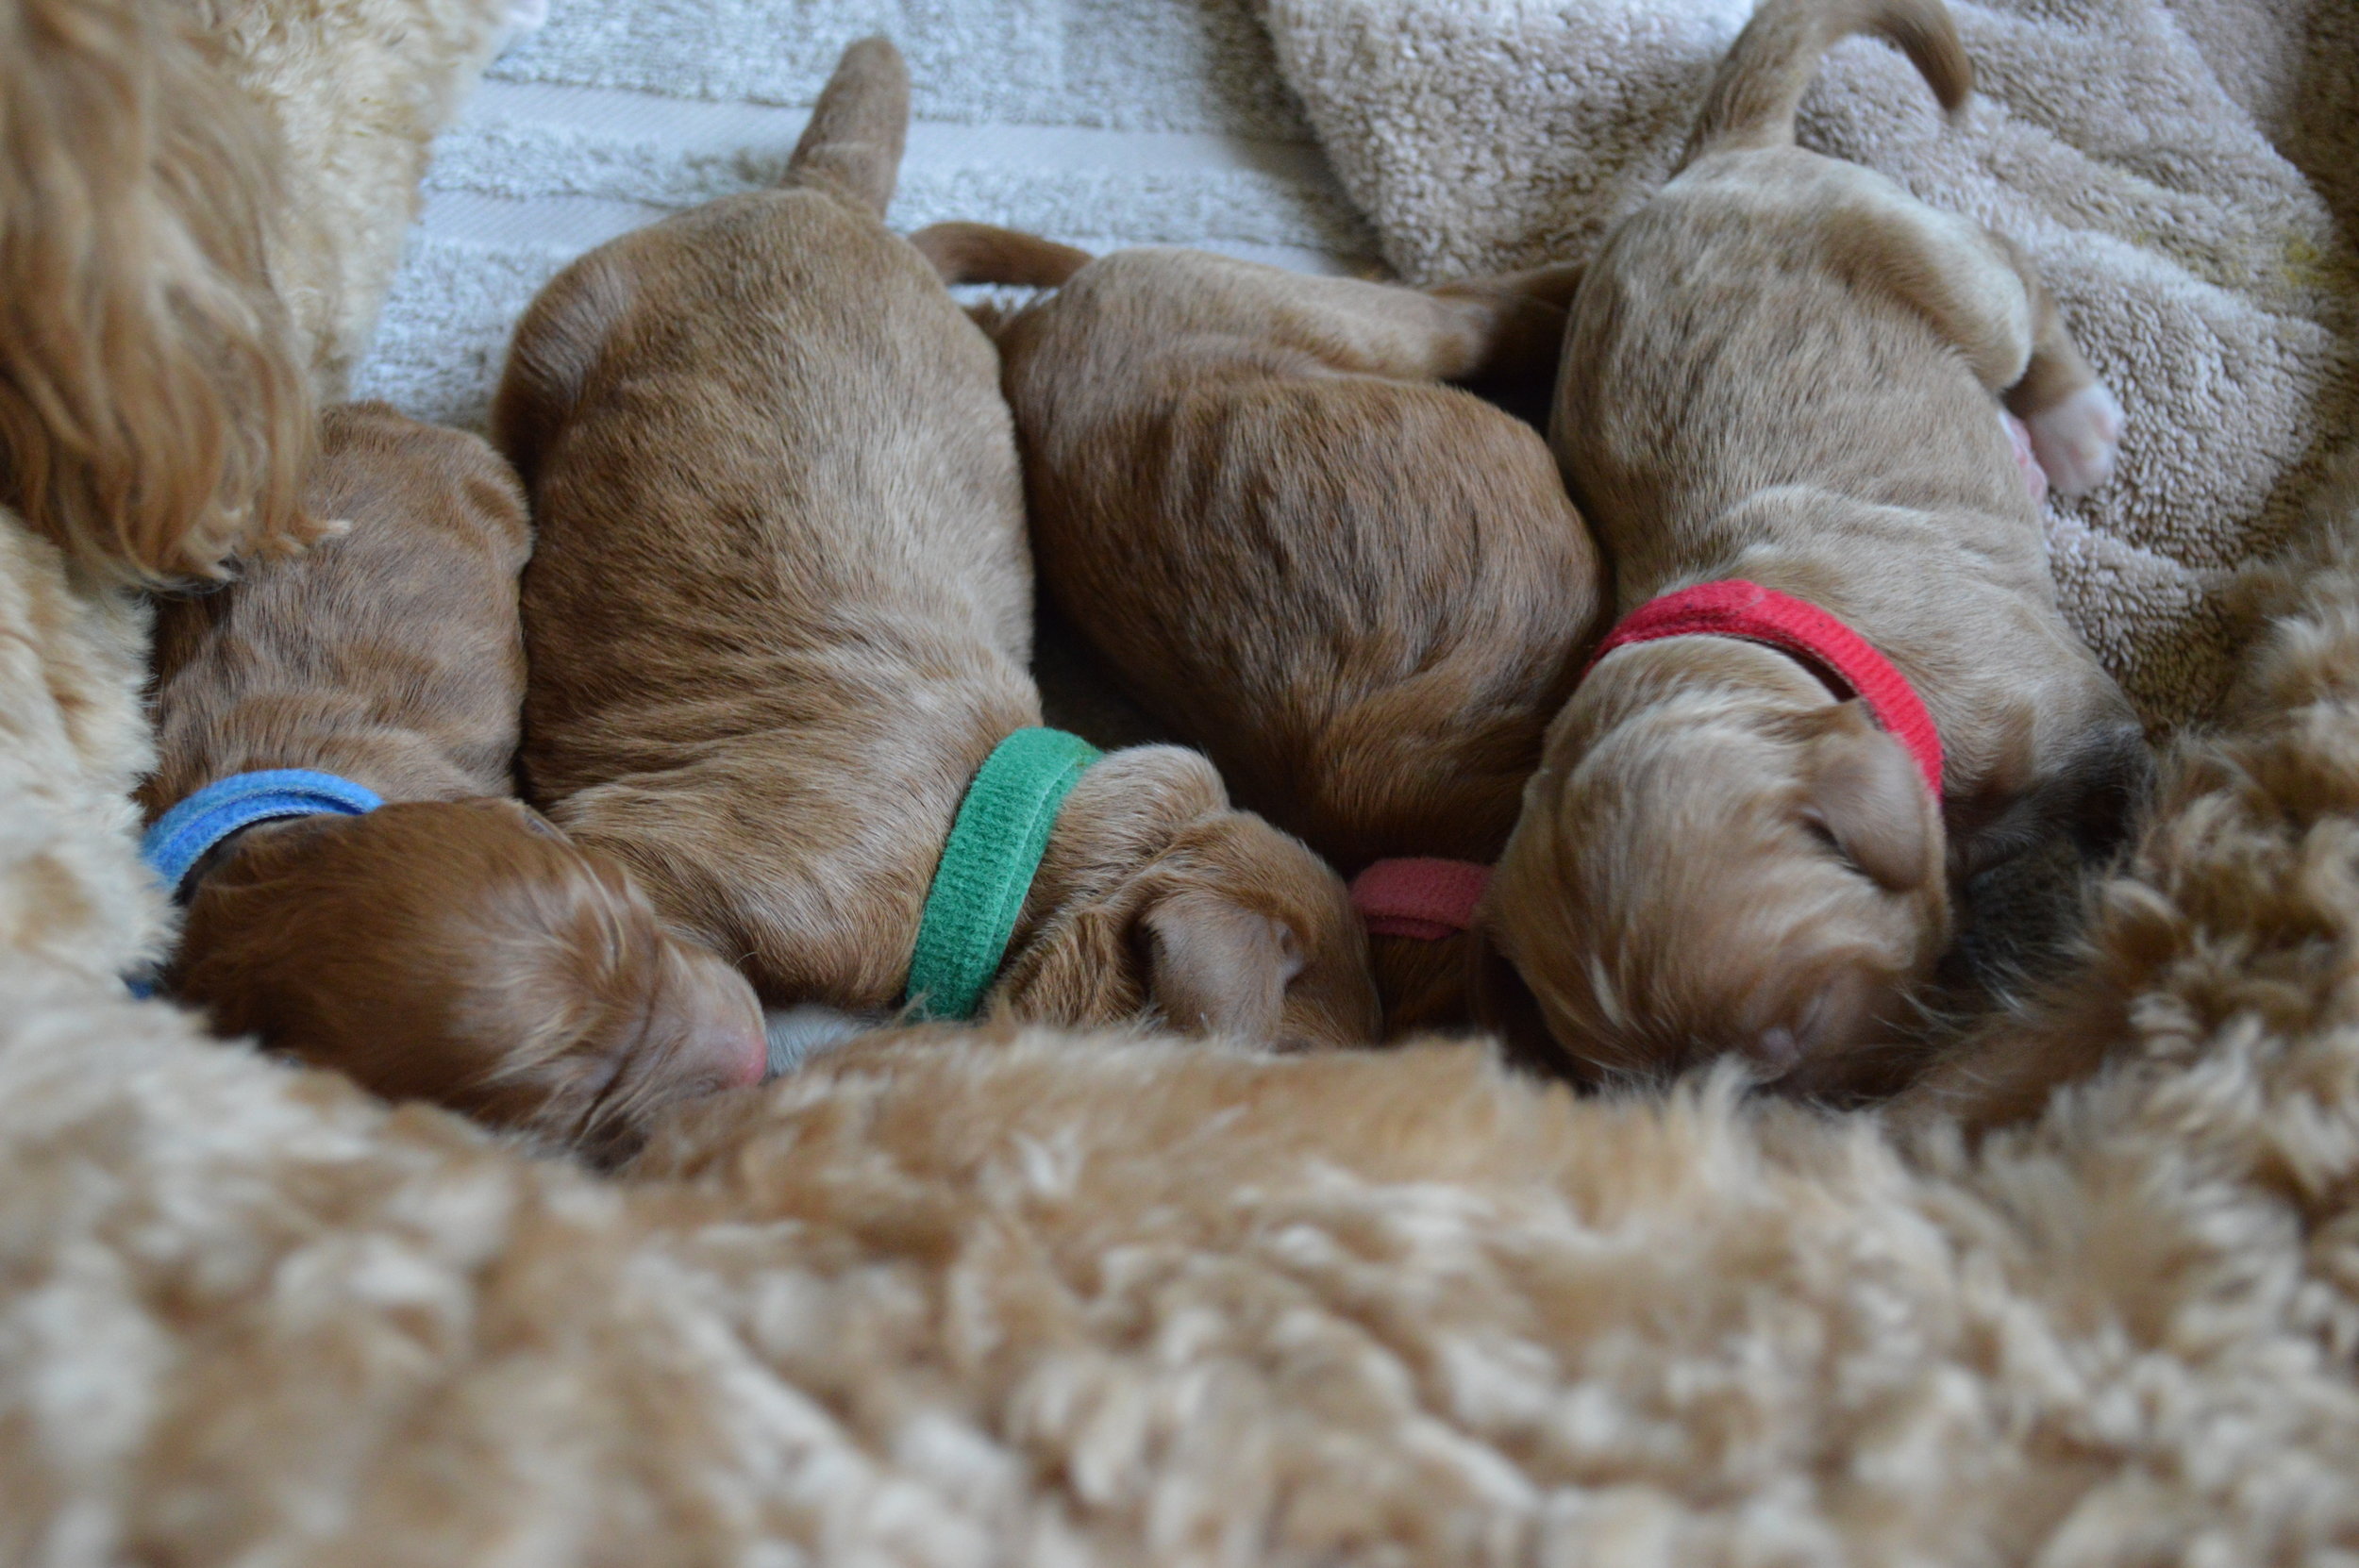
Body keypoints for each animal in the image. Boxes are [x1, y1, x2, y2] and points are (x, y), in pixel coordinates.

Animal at [1481, 0, 2151, 1098]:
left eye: (1795, 1026)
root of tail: (1724, 153)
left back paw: (2071, 425)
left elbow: (2126, 809)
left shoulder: (2082, 721)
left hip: (1932, 263)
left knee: (2016, 279)